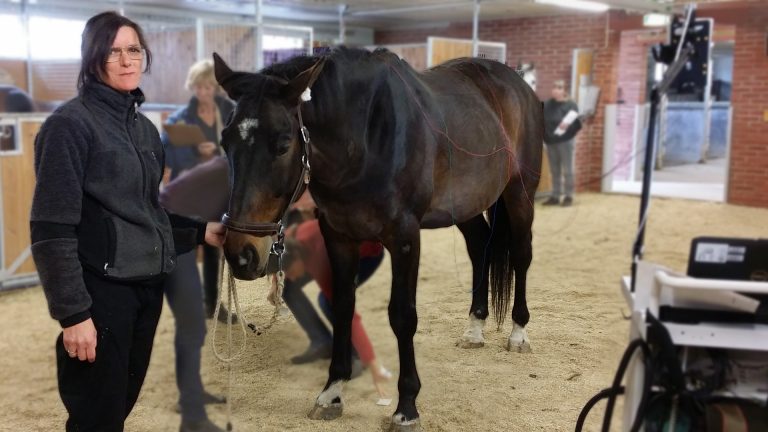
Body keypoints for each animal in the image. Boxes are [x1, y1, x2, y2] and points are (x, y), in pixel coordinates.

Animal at [213, 48, 544, 432]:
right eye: (225, 142)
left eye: (283, 145)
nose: (241, 255)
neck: (365, 139)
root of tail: (518, 83)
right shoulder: (338, 235)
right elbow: (343, 306)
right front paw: (332, 392)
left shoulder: (405, 237)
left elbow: (402, 316)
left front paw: (406, 407)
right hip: (464, 207)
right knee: (480, 250)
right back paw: (475, 328)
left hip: (519, 194)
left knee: (521, 255)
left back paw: (518, 333)